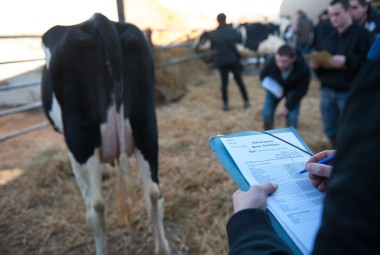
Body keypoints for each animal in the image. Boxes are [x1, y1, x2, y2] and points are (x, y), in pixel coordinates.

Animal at [40, 13, 170, 255]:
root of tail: (99, 20)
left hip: (81, 140)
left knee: (96, 208)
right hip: (146, 126)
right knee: (153, 193)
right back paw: (162, 249)